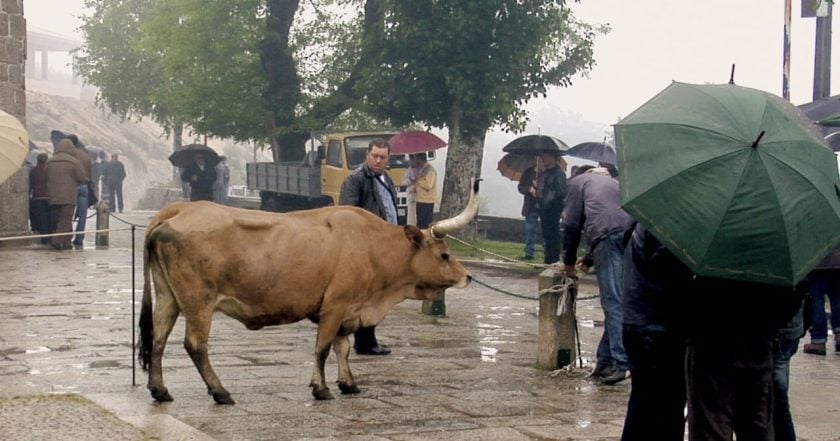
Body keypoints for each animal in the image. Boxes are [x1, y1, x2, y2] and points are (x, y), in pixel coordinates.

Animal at [139, 180, 480, 402]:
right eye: (444, 255)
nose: (468, 276)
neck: (372, 246)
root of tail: (179, 210)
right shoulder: (334, 307)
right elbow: (323, 348)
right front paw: (321, 388)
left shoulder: (348, 310)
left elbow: (343, 348)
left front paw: (348, 383)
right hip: (199, 302)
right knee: (195, 345)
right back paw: (220, 392)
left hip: (168, 296)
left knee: (158, 339)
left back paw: (160, 390)